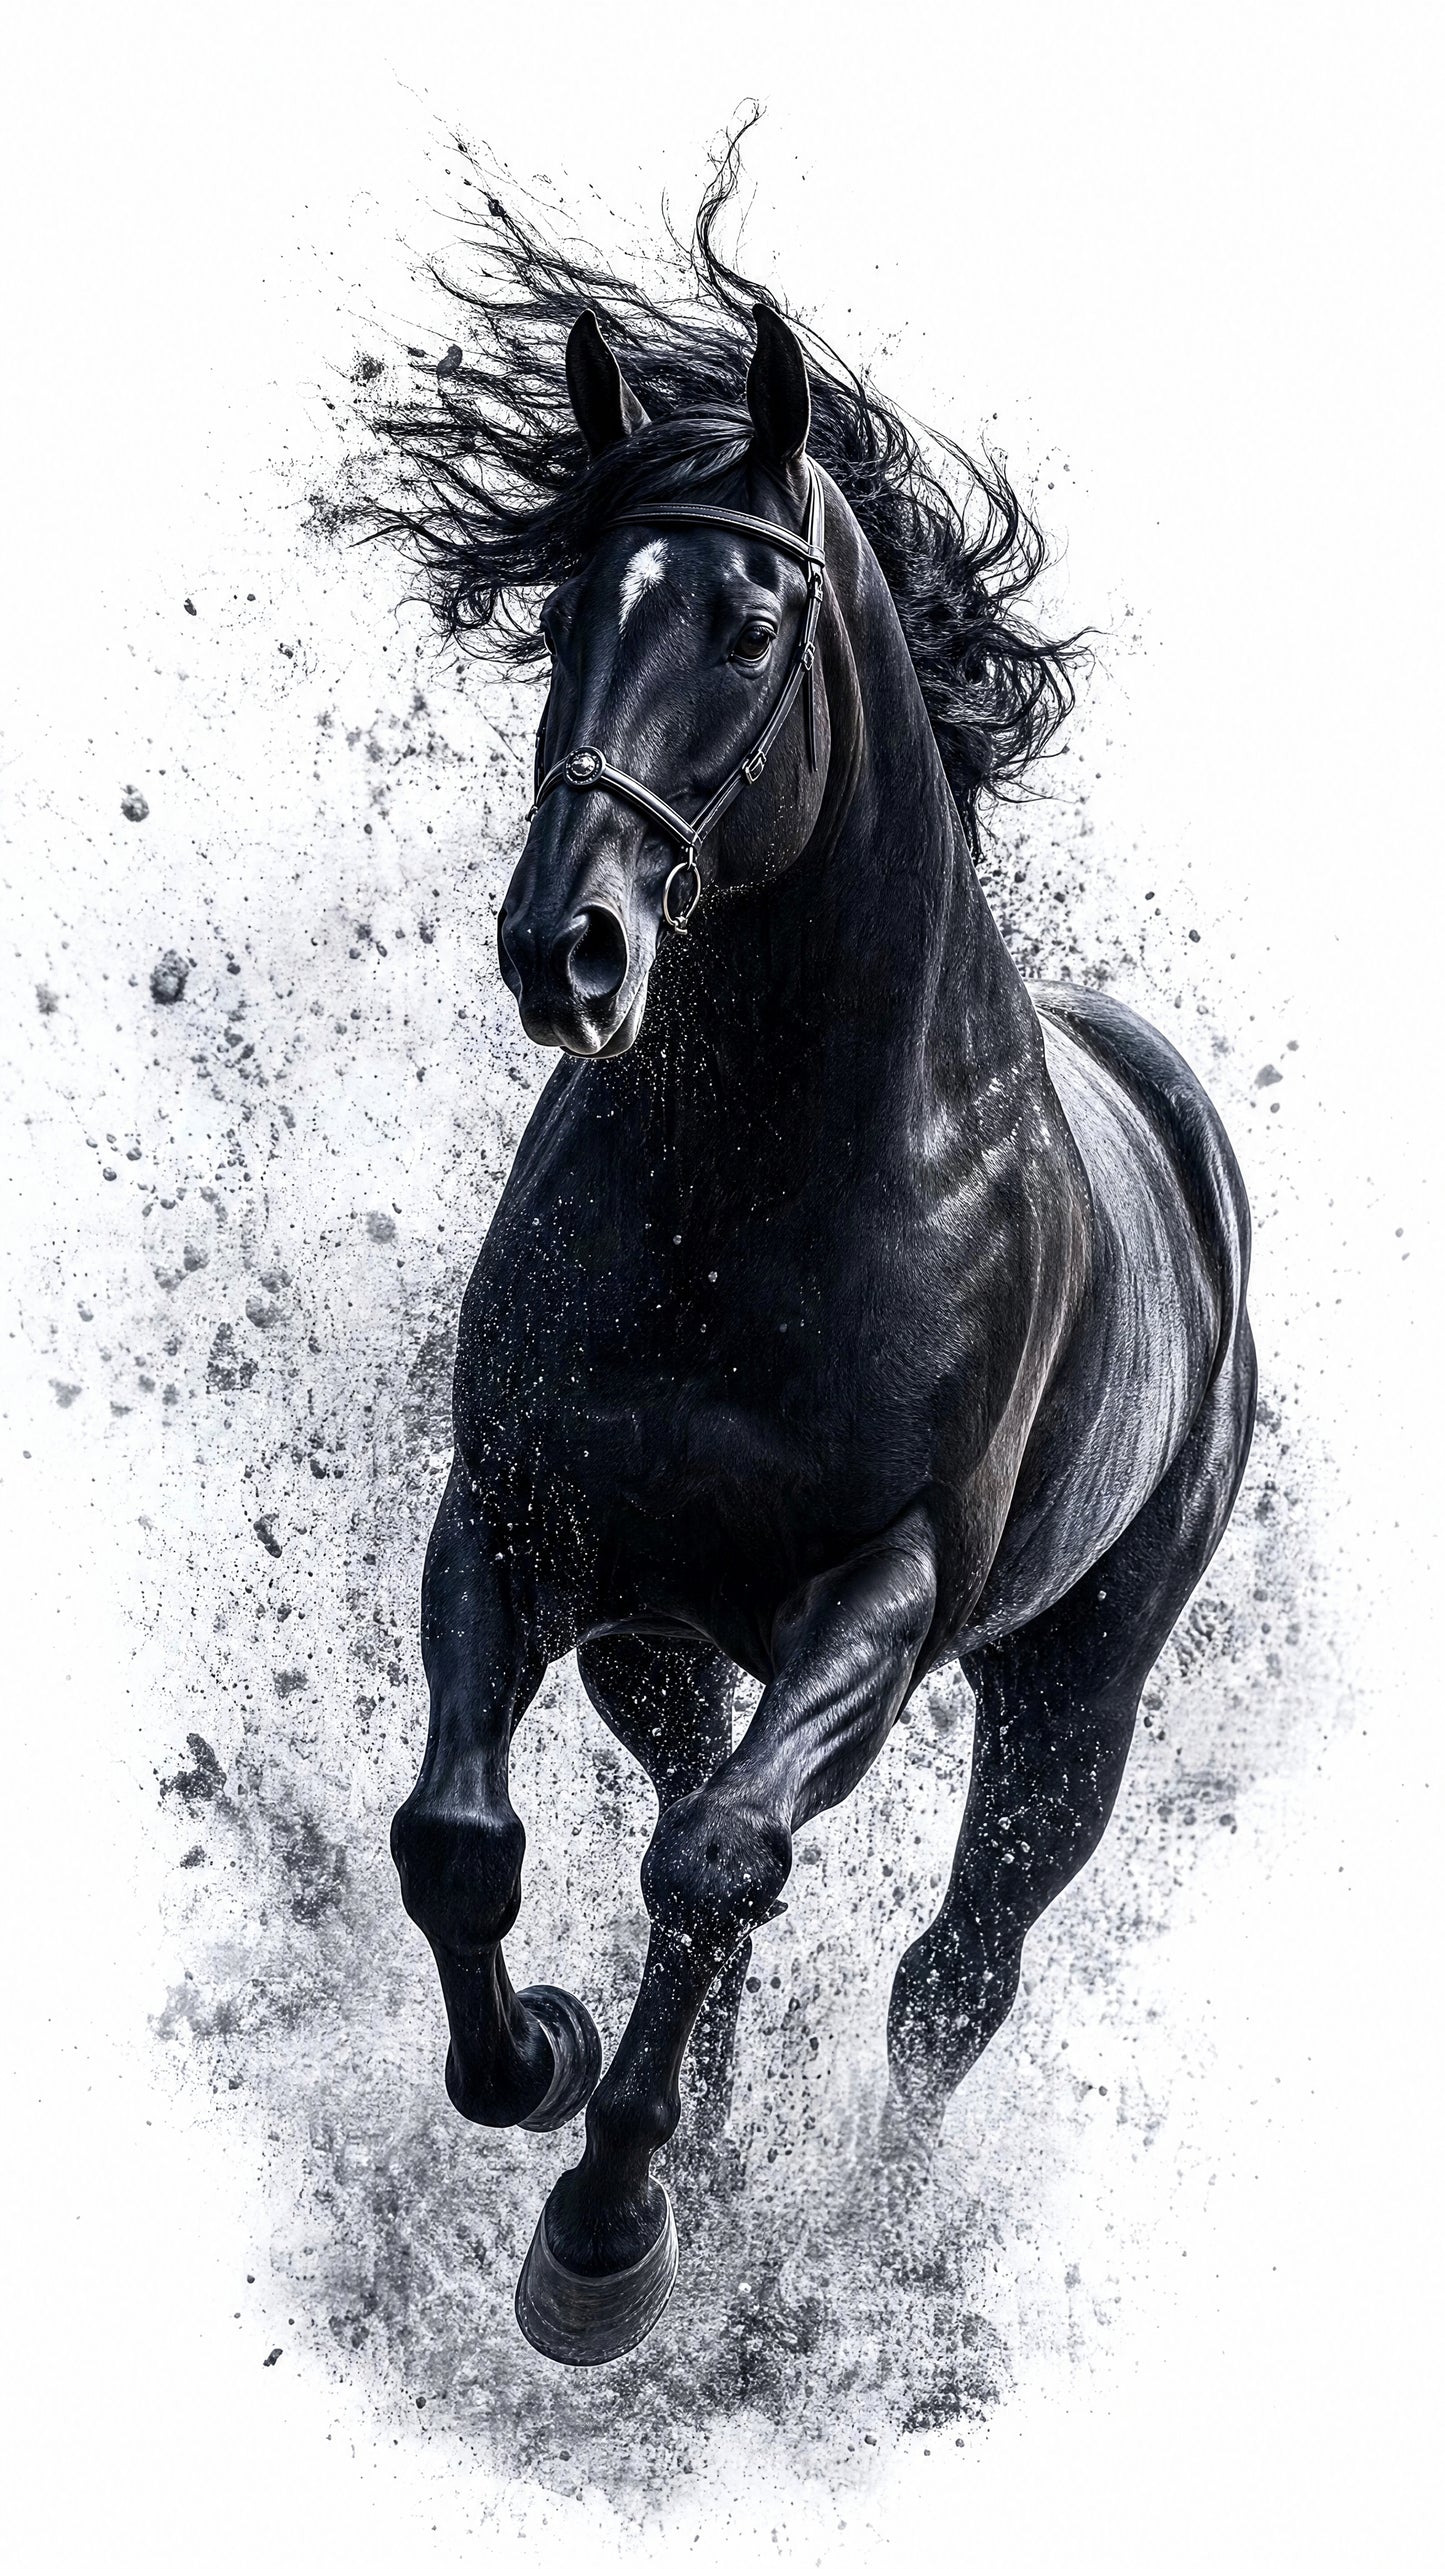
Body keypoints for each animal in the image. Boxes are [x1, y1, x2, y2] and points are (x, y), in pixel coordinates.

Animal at [380, 191, 1256, 2367]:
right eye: (567, 615)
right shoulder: (522, 1524)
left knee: (948, 1972)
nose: (566, 948)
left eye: (750, 626)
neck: (757, 1188)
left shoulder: (880, 1597)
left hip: (1072, 1693)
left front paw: (598, 2243)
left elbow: (718, 1866)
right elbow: (463, 1839)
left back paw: (853, 2241)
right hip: (657, 1640)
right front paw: (540, 2055)